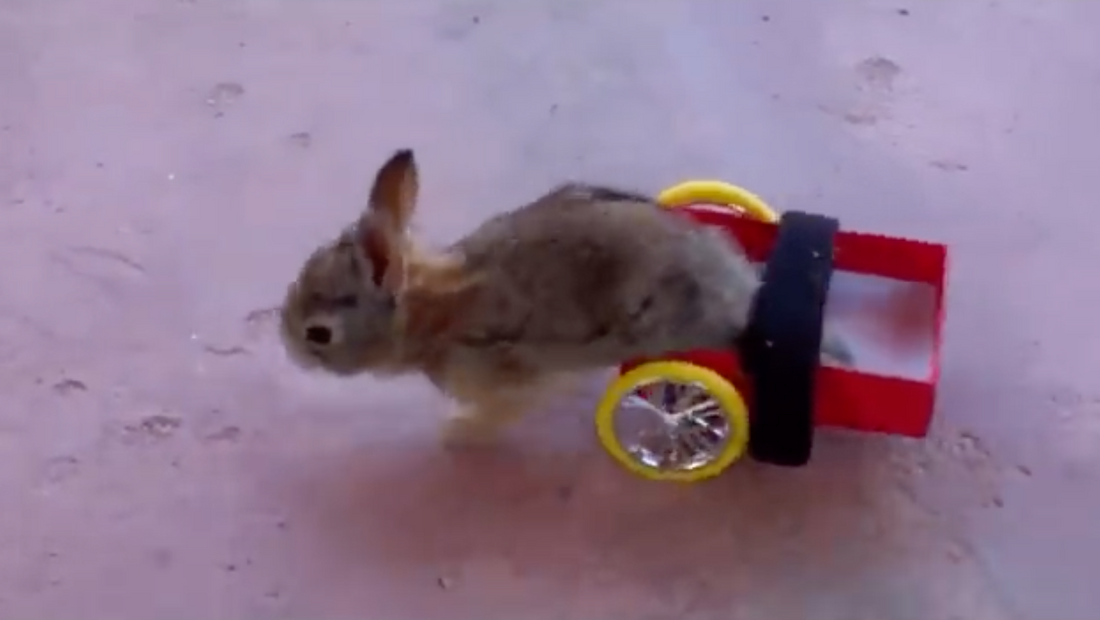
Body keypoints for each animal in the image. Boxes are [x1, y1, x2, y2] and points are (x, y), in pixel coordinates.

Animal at [279, 149, 854, 444]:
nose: (288, 349)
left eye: (318, 334)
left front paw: (457, 432)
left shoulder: (510, 378)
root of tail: (746, 297)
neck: (426, 315)